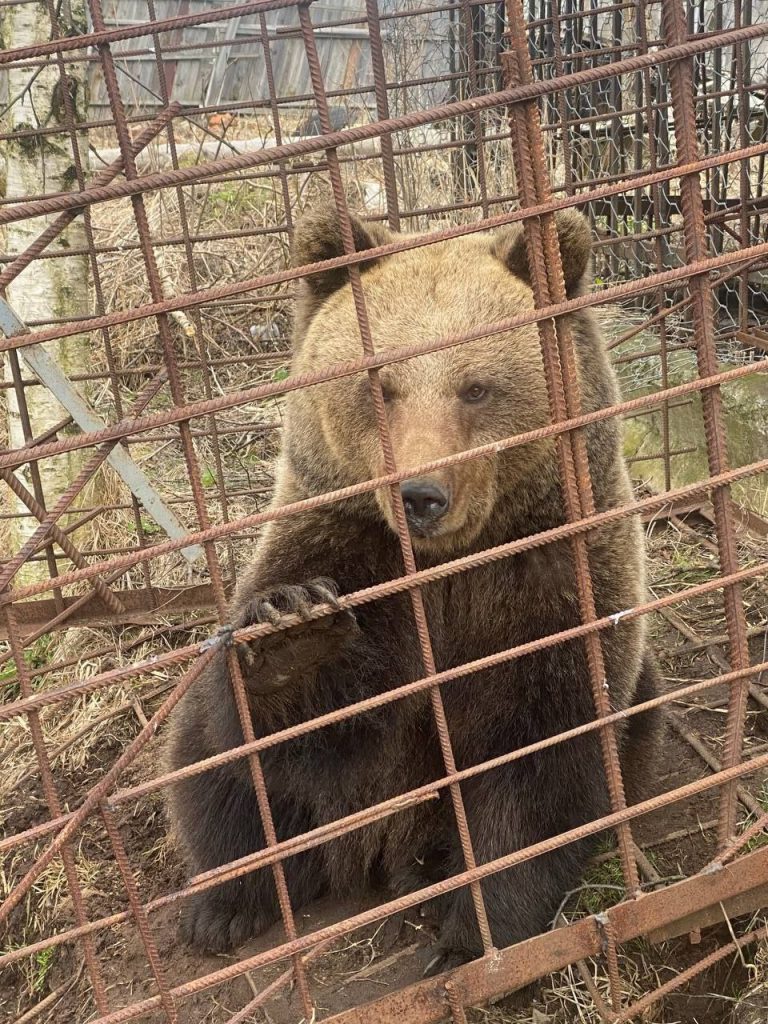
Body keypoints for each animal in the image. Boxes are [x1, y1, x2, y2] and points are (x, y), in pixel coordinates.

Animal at [166, 203, 663, 970]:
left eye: (476, 386)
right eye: (379, 387)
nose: (420, 494)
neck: (446, 565)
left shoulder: (555, 587)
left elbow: (543, 761)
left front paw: (474, 933)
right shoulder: (348, 546)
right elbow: (299, 727)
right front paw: (293, 633)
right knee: (210, 763)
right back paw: (226, 905)